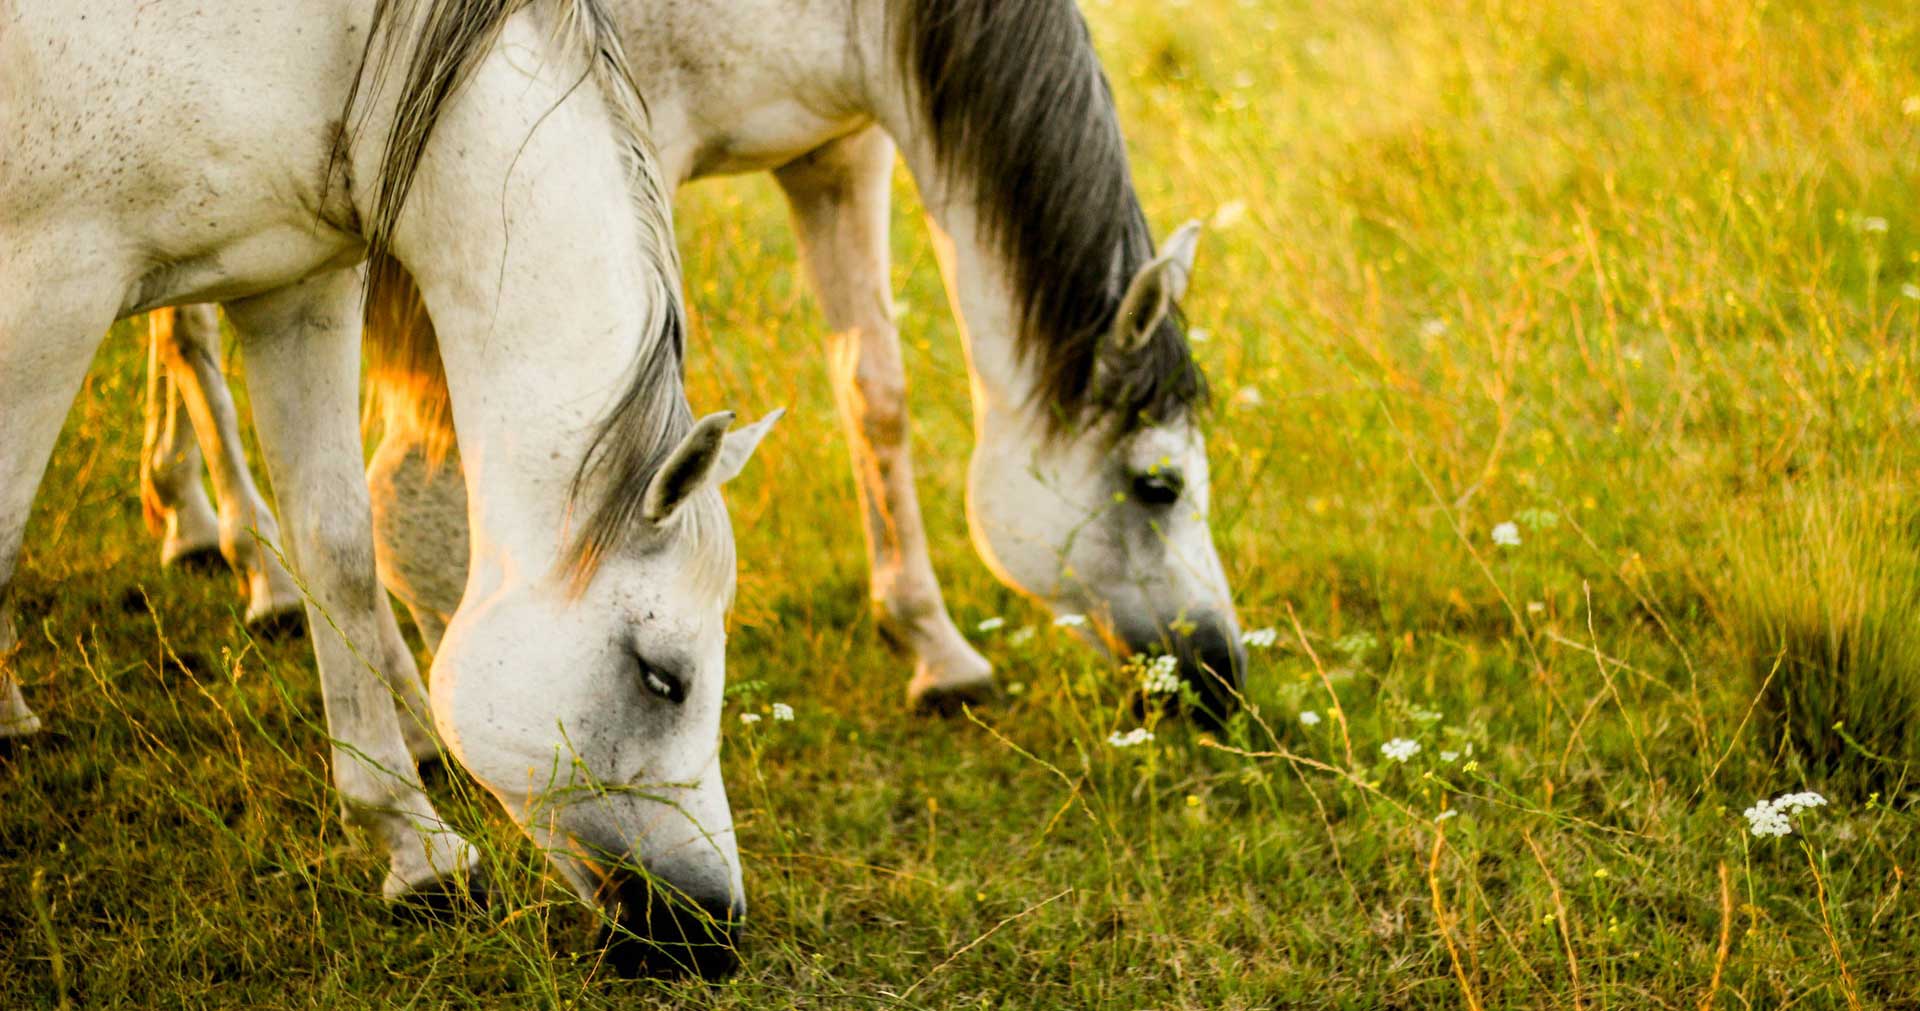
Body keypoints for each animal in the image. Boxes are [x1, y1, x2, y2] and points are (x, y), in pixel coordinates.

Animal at [7, 0, 775, 982]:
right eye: (662, 678)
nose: (714, 928)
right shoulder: (49, 289)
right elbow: (3, 529)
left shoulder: (293, 286)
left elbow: (337, 549)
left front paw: (417, 849)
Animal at [139, 0, 1244, 721]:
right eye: (1159, 485)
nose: (1224, 674)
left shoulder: (837, 152)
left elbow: (873, 391)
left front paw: (934, 648)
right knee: (192, 336)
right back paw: (257, 570)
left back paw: (188, 516)